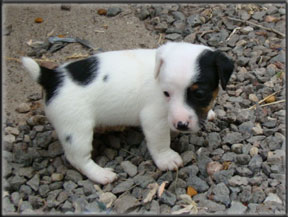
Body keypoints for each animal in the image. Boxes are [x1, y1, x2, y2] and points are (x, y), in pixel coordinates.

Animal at [22, 41, 234, 184]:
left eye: (199, 94)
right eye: (166, 93)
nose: (180, 125)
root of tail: (51, 77)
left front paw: (210, 113)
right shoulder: (153, 119)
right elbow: (160, 142)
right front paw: (167, 159)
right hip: (75, 129)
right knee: (78, 158)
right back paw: (101, 174)